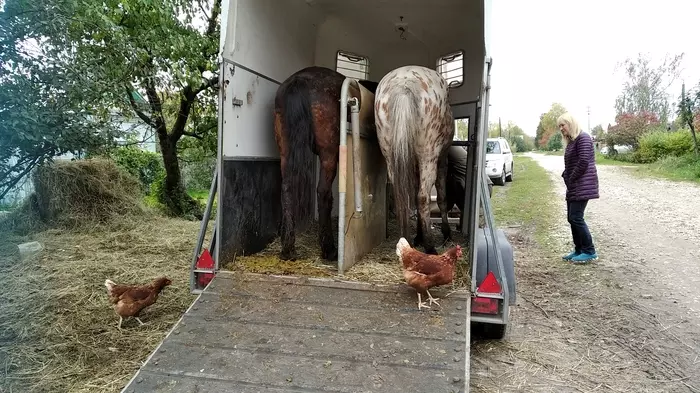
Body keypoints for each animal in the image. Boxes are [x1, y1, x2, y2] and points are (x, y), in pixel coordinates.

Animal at [274, 66, 350, 262]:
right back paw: (329, 249)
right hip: (329, 154)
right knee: (323, 193)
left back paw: (288, 247)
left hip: (285, 151)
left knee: (286, 188)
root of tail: (300, 78)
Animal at [374, 64, 456, 254]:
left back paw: (407, 241)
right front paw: (446, 233)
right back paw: (430, 247)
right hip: (429, 157)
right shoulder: (442, 162)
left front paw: (418, 236)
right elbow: (441, 198)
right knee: (423, 197)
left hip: (391, 158)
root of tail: (404, 83)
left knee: (402, 197)